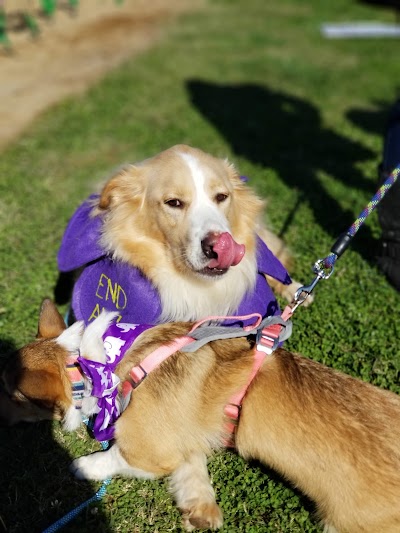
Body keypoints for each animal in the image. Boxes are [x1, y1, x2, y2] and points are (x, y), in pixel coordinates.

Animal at [0, 298, 400, 528]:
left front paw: (84, 466)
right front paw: (202, 512)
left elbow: (113, 456)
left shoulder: (149, 451)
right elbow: (192, 469)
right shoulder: (183, 442)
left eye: (10, 395)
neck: (95, 363)